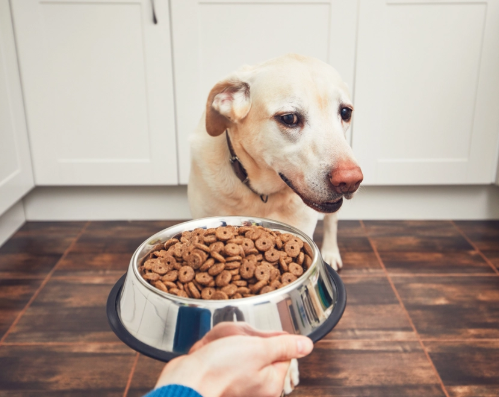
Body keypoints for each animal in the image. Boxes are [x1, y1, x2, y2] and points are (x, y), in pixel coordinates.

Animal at [188, 53, 364, 392]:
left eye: (345, 112)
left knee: (333, 223)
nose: (350, 180)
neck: (261, 193)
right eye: (290, 119)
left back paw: (332, 252)